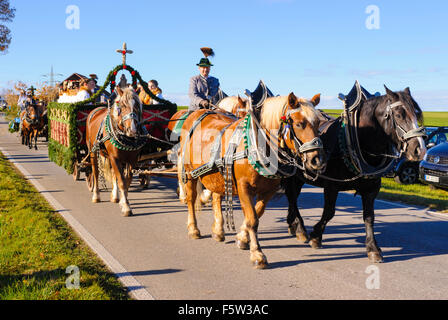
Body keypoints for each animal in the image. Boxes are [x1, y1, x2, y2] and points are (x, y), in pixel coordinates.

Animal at [86, 86, 145, 216]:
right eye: (122, 106)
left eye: (138, 106)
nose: (132, 130)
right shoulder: (115, 158)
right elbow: (121, 181)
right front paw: (126, 206)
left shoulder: (132, 160)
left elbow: (126, 181)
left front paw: (124, 201)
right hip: (93, 151)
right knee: (95, 172)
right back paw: (96, 195)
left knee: (114, 174)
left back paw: (115, 196)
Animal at [178, 92, 326, 268]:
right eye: (299, 124)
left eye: (318, 123)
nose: (317, 160)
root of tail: (197, 113)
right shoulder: (244, 187)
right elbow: (252, 219)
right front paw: (257, 254)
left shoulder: (268, 191)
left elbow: (256, 214)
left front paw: (242, 238)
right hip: (189, 172)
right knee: (191, 198)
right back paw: (193, 229)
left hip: (217, 174)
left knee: (216, 197)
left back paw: (218, 230)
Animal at [284, 83, 428, 262]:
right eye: (399, 115)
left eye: (417, 114)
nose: (420, 150)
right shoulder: (331, 186)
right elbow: (329, 212)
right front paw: (316, 236)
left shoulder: (371, 189)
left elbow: (369, 216)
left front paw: (373, 248)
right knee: (291, 197)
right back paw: (300, 228)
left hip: (299, 177)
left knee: (293, 196)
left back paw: (292, 224)